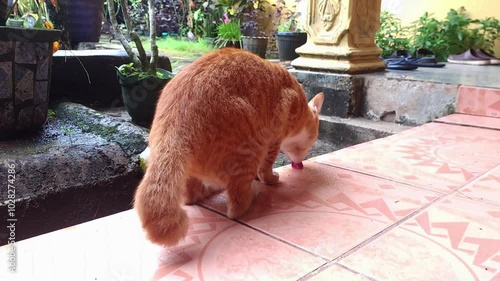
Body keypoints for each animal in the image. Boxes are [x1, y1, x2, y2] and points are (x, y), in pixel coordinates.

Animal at [135, 47, 326, 245]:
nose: (301, 162)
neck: (300, 104)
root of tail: (173, 126)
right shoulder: (274, 140)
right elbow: (266, 168)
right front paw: (269, 179)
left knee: (191, 196)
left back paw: (212, 189)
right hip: (251, 149)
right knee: (236, 206)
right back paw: (252, 193)